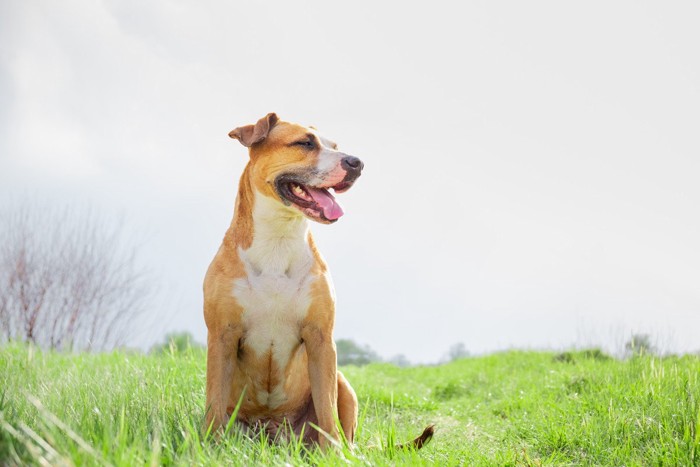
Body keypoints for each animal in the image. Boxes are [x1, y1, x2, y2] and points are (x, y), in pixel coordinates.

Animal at [202, 112, 432, 450]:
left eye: (334, 146)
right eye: (305, 143)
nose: (357, 162)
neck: (279, 238)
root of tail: (275, 436)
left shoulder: (321, 338)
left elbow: (327, 408)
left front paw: (332, 453)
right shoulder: (222, 336)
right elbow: (214, 402)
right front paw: (210, 447)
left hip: (344, 384)